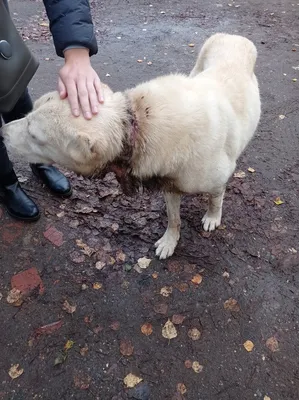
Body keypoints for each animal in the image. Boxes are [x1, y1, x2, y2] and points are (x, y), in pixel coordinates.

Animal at [2, 34, 262, 260]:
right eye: (29, 112)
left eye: (34, 135)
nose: (1, 132)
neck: (138, 125)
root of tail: (233, 36)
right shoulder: (169, 184)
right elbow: (173, 219)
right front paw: (169, 241)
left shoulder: (217, 178)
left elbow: (216, 198)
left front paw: (212, 217)